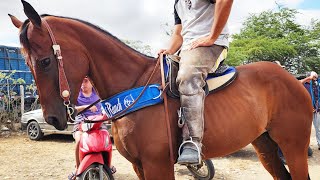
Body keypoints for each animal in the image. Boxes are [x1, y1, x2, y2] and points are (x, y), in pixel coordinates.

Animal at [9, 1, 312, 179]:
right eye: (26, 62)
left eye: (45, 61)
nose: (52, 118)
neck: (133, 86)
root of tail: (294, 80)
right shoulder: (139, 165)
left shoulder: (158, 164)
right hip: (265, 146)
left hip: (293, 146)